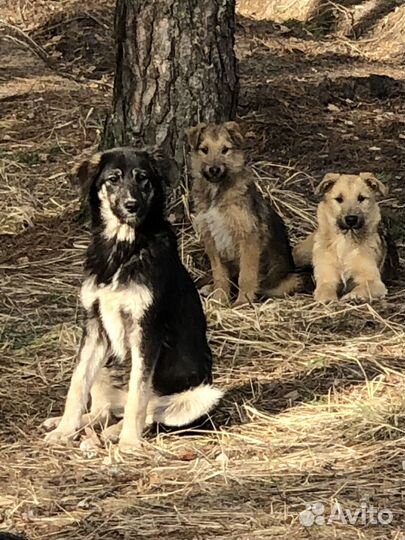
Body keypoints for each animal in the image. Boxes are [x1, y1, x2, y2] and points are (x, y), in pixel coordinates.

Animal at [42, 148, 223, 452]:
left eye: (143, 179)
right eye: (113, 179)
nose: (132, 206)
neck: (123, 249)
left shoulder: (146, 329)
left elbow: (138, 394)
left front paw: (128, 441)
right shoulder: (94, 325)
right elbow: (77, 383)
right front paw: (64, 429)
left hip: (200, 396)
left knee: (150, 410)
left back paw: (116, 432)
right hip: (104, 364)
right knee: (104, 408)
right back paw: (76, 423)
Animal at [185, 123, 304, 308]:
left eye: (225, 150)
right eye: (204, 150)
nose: (214, 169)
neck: (217, 190)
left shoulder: (248, 238)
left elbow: (246, 275)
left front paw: (243, 301)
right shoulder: (211, 238)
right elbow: (219, 274)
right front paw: (219, 299)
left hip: (291, 279)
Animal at [294, 172, 398, 302]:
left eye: (361, 198)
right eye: (339, 199)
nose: (351, 219)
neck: (345, 240)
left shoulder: (374, 281)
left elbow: (364, 287)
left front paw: (353, 296)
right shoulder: (326, 277)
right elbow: (325, 289)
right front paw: (327, 298)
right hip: (302, 254)